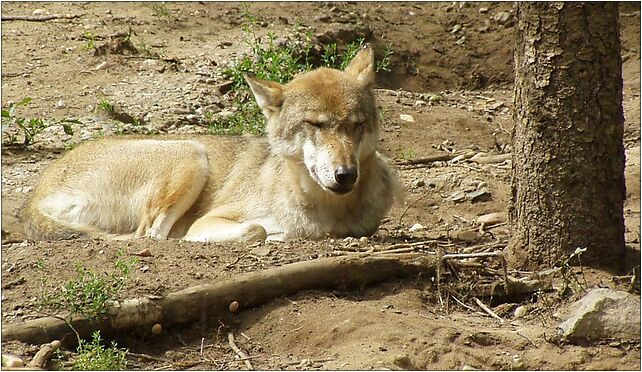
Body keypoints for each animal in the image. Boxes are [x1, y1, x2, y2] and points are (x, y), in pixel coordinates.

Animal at [23, 46, 400, 243]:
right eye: (316, 125)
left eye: (357, 125)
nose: (345, 174)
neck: (324, 211)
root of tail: (34, 197)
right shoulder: (209, 221)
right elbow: (257, 229)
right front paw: (277, 235)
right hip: (192, 154)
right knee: (151, 235)